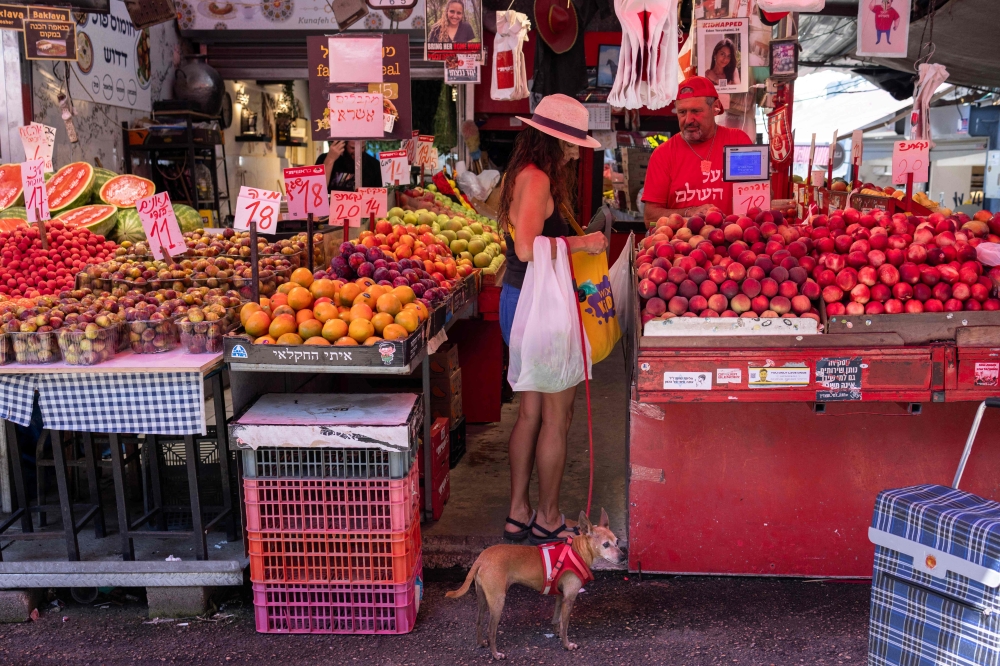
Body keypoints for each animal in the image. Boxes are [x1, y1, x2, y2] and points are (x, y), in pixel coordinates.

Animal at [446, 508, 624, 660]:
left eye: (617, 542)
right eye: (605, 545)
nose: (623, 557)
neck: (577, 550)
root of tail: (481, 558)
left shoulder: (560, 596)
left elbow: (556, 619)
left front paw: (557, 633)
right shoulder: (569, 598)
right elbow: (565, 625)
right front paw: (567, 645)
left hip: (483, 598)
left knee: (478, 621)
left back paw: (481, 643)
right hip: (498, 601)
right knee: (491, 630)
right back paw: (496, 654)